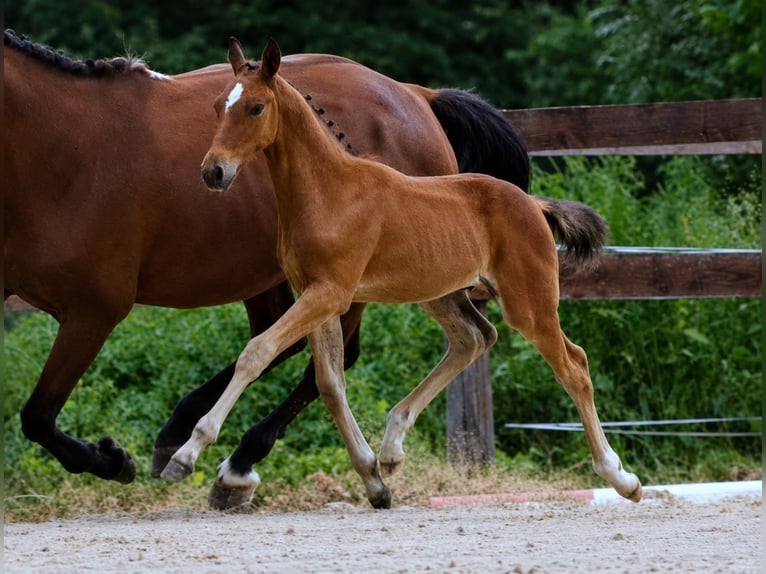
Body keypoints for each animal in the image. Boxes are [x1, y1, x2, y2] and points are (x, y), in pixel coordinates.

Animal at [3, 29, 529, 509]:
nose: (213, 172)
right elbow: (36, 416)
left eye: (255, 110)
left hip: (363, 283)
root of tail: (418, 95)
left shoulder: (94, 309)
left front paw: (115, 460)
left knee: (326, 360)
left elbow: (38, 416)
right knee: (307, 352)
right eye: (218, 108)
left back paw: (236, 464)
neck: (66, 150)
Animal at [167, 38, 643, 509]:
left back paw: (623, 479)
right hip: (440, 293)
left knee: (574, 365)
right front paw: (373, 478)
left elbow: (258, 351)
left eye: (256, 107)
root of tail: (534, 204)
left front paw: (187, 454)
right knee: (472, 339)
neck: (329, 190)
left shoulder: (331, 293)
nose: (214, 171)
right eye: (217, 106)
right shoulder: (314, 293)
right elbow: (329, 381)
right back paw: (392, 448)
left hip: (529, 302)